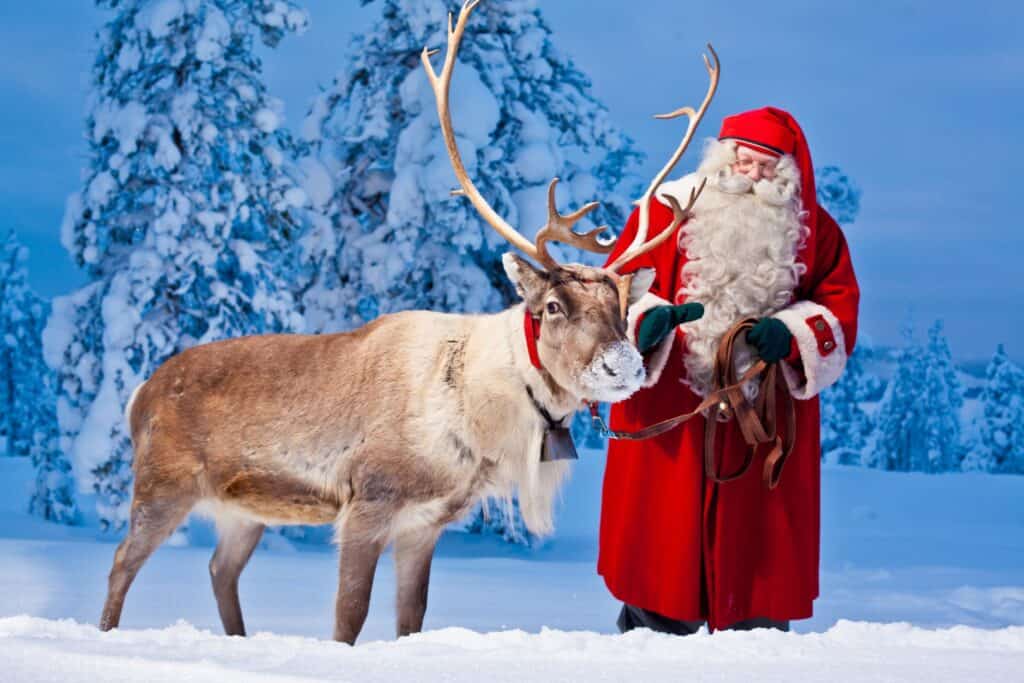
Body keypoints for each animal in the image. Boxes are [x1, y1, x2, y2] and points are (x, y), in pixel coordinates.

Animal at [98, 0, 719, 644]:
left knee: (221, 569)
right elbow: (349, 617)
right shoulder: (369, 501)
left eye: (621, 310)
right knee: (120, 563)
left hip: (241, 509)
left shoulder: (427, 522)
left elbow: (411, 618)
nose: (623, 366)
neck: (476, 414)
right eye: (552, 307)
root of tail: (139, 394)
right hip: (163, 484)